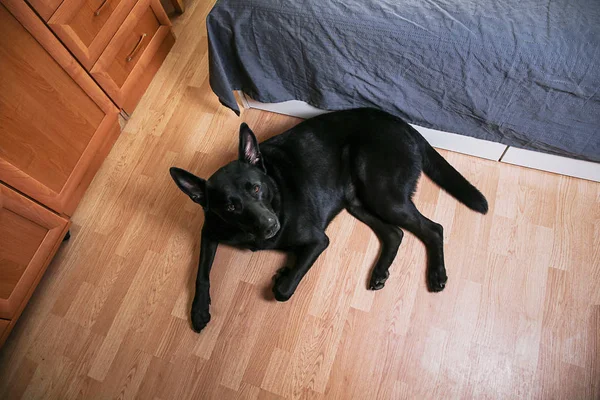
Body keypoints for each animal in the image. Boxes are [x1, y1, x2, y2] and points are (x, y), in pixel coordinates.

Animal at [170, 108, 488, 332]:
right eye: (230, 206)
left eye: (256, 188)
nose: (271, 227)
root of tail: (401, 122)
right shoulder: (210, 229)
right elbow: (201, 274)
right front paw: (199, 310)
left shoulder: (317, 241)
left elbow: (284, 289)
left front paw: (283, 274)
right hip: (358, 201)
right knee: (395, 233)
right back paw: (379, 271)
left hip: (382, 193)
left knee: (433, 228)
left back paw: (437, 274)